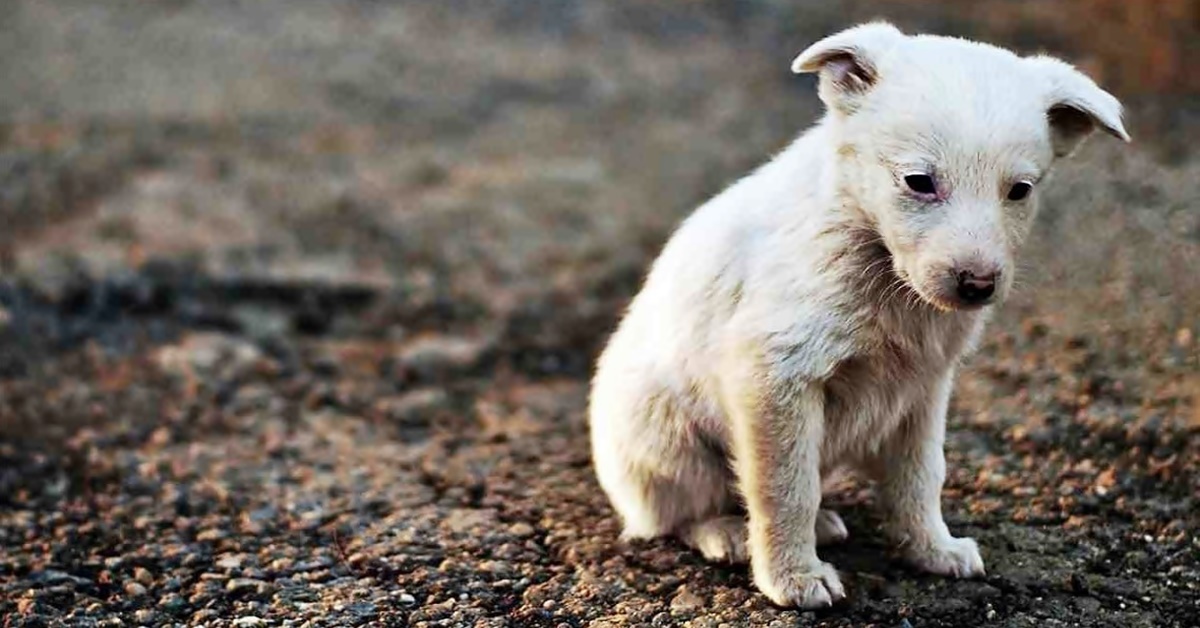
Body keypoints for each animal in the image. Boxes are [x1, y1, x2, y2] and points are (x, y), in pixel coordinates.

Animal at [585, 23, 1128, 609]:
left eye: (1020, 191)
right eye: (918, 181)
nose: (978, 286)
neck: (878, 260)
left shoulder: (924, 389)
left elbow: (921, 476)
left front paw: (932, 550)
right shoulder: (776, 376)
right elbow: (785, 488)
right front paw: (794, 578)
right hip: (665, 437)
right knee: (678, 512)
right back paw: (726, 532)